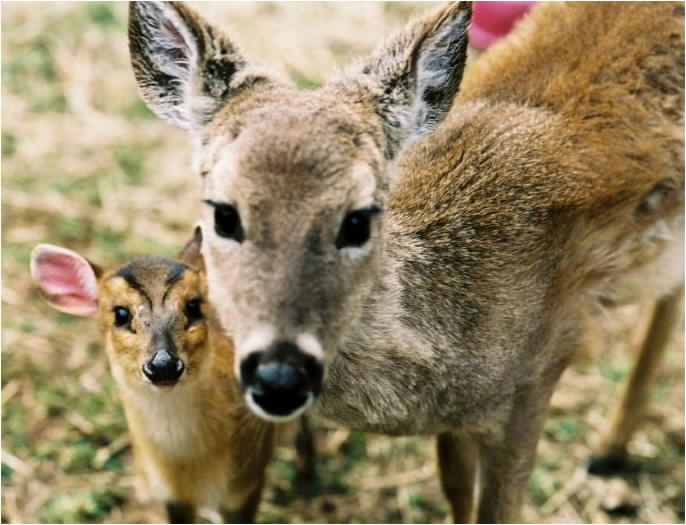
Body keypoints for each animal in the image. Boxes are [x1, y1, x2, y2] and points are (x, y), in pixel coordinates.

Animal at [127, 1, 684, 522]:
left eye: (357, 219)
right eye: (223, 213)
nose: (279, 377)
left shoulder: (539, 373)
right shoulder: (459, 422)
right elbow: (456, 489)